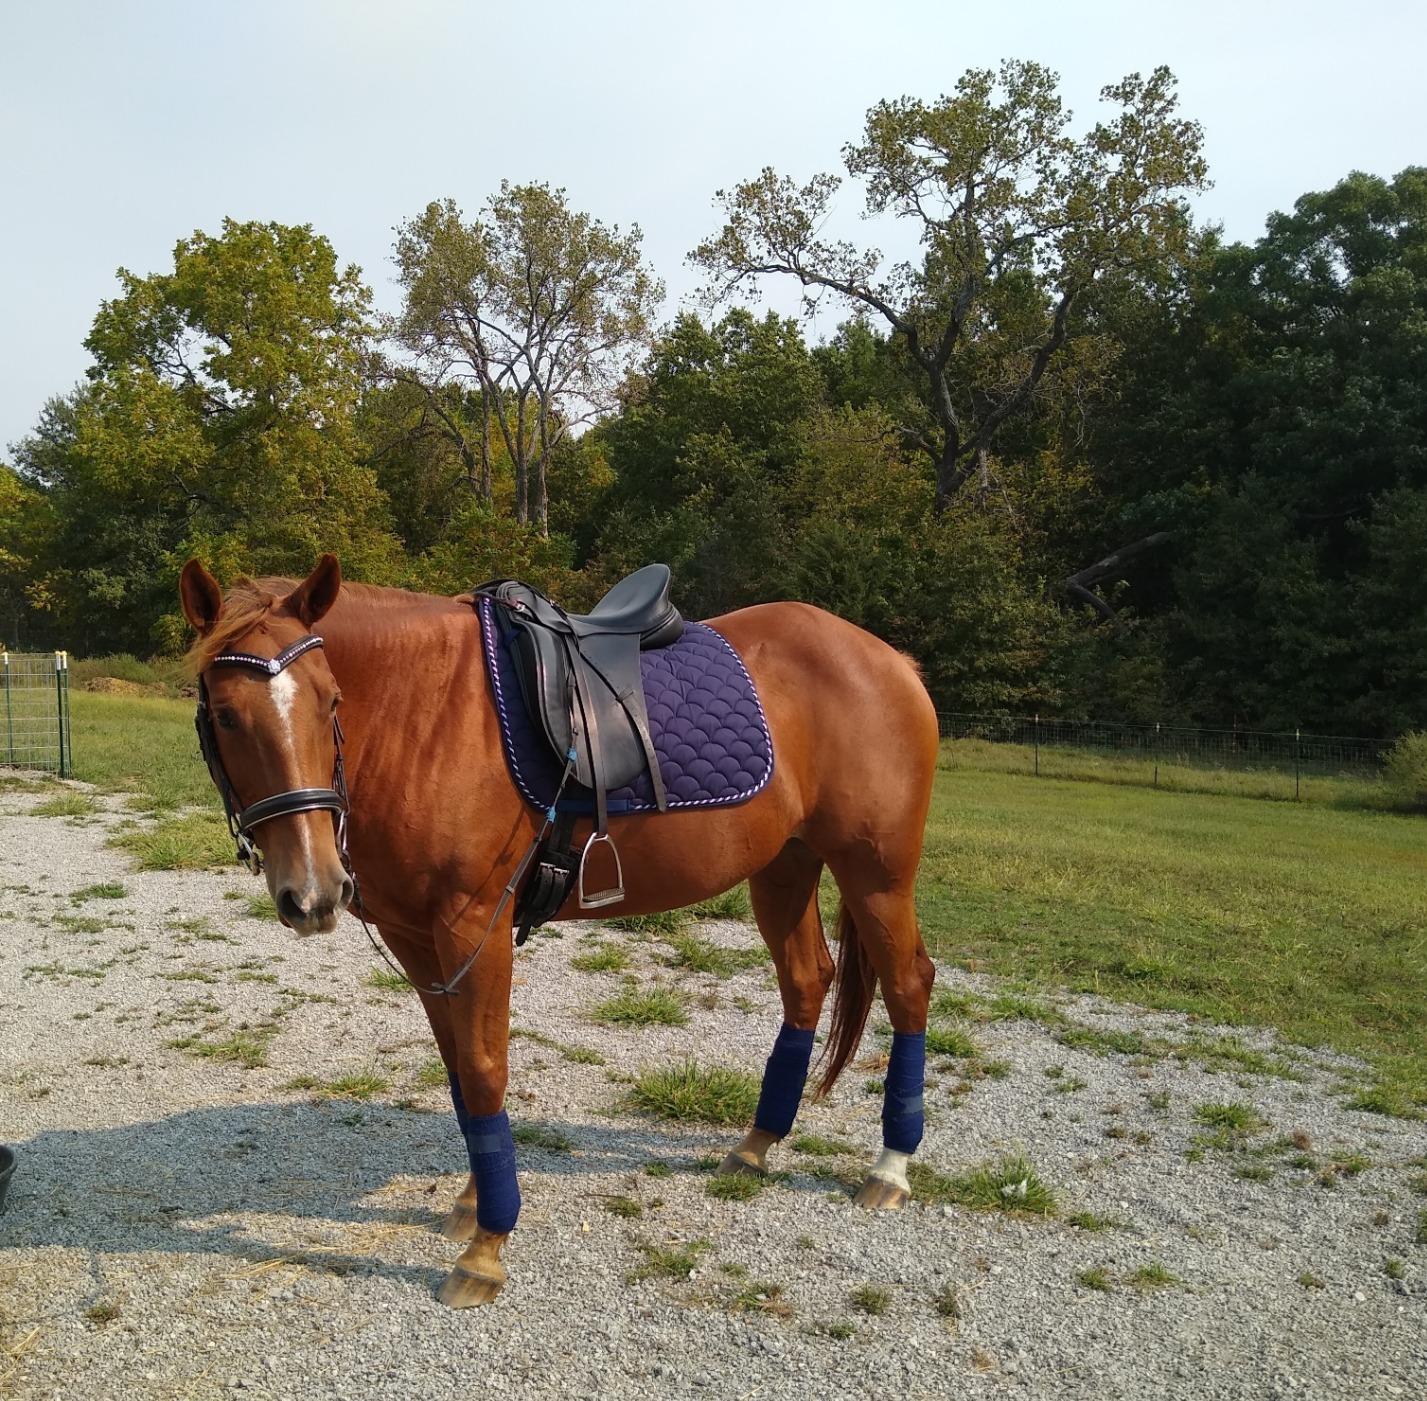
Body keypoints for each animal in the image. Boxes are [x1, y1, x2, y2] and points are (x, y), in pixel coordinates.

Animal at [178, 553, 939, 1308]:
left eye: (331, 701)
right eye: (225, 716)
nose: (313, 892)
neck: (421, 713)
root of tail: (889, 659)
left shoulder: (473, 925)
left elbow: (485, 1069)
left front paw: (486, 1248)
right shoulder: (414, 938)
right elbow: (458, 1070)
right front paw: (474, 1203)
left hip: (874, 874)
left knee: (908, 984)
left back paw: (890, 1167)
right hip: (784, 867)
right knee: (808, 980)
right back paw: (756, 1143)